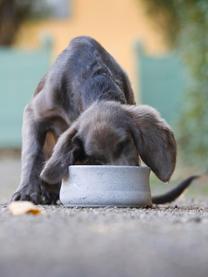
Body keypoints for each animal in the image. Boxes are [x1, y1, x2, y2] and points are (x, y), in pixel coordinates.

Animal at [11, 35, 197, 204]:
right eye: (97, 160)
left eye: (126, 144)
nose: (122, 183)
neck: (94, 79)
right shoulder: (34, 112)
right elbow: (32, 152)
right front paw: (27, 191)